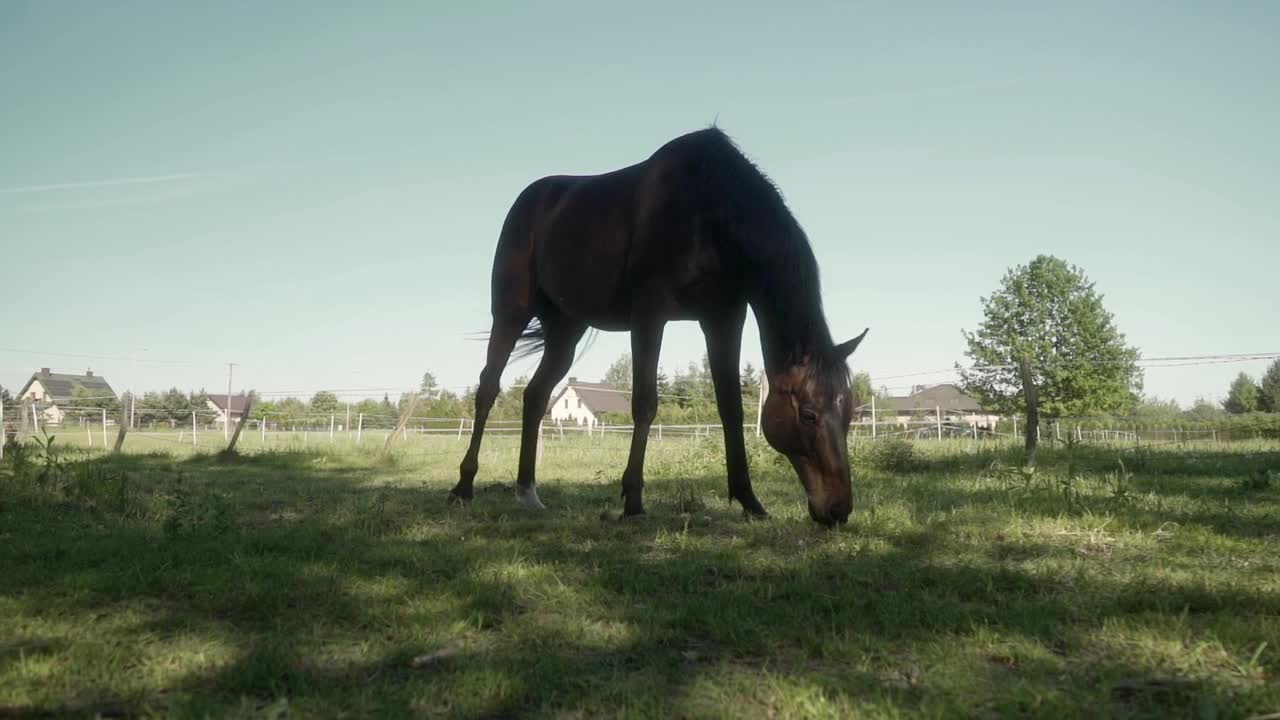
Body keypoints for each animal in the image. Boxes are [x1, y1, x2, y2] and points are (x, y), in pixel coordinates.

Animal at [450, 126, 870, 525]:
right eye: (808, 415)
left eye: (849, 412)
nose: (838, 510)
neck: (708, 213)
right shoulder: (649, 316)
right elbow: (645, 404)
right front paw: (633, 501)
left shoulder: (723, 319)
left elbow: (731, 408)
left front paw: (749, 500)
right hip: (510, 314)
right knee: (488, 389)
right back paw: (463, 486)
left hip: (567, 329)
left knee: (535, 396)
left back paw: (528, 491)